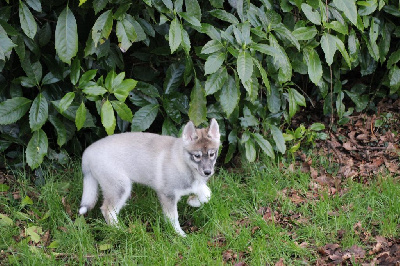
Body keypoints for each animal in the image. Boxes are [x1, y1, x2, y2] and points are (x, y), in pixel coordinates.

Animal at [79, 119, 220, 236]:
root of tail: (87, 153)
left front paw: (193, 201)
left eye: (212, 154)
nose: (208, 172)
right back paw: (120, 230)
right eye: (197, 156)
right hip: (120, 186)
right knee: (107, 210)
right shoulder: (167, 195)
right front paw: (179, 235)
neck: (184, 162)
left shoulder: (196, 185)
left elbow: (207, 194)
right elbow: (173, 218)